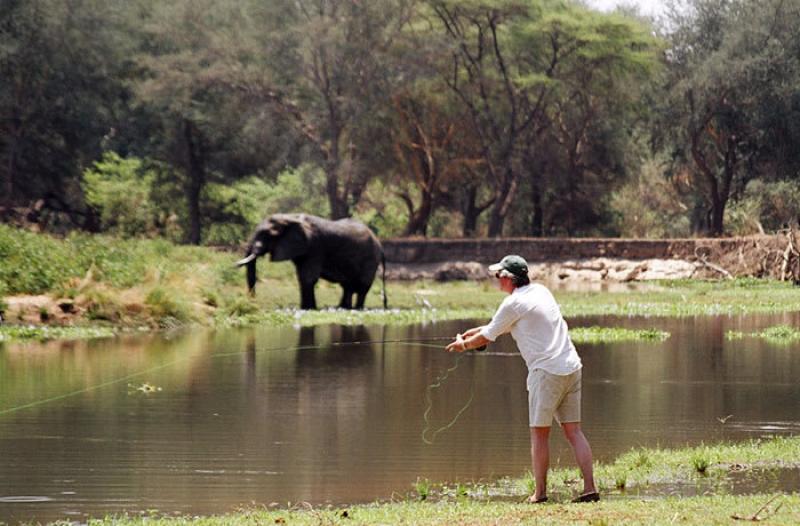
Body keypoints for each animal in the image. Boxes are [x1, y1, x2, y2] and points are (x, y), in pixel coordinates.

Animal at [236, 213, 387, 310]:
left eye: (267, 235)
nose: (253, 303)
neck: (290, 217)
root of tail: (380, 244)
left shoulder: (315, 247)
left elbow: (308, 277)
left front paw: (309, 309)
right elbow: (302, 277)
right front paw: (305, 309)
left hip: (370, 260)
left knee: (362, 287)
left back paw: (357, 309)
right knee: (347, 286)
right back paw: (343, 308)